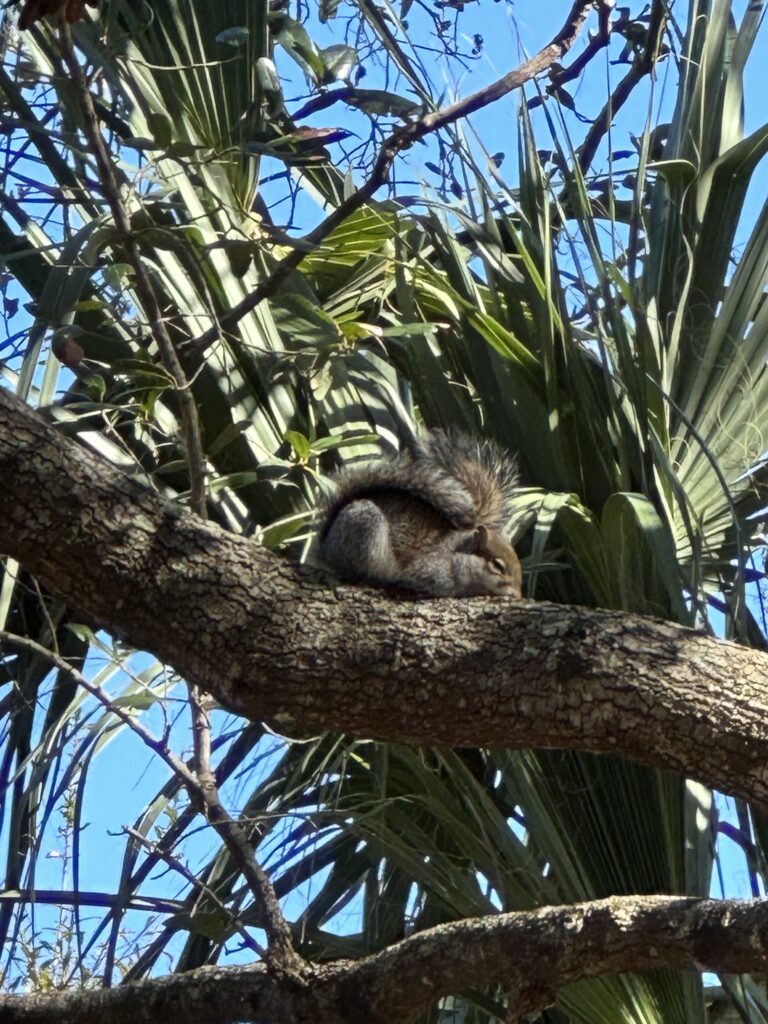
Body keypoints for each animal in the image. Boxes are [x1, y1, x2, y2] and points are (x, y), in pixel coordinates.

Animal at [317, 428, 524, 598]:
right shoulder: (430, 569)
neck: (457, 551)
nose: (517, 595)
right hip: (364, 523)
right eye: (497, 566)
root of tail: (325, 546)